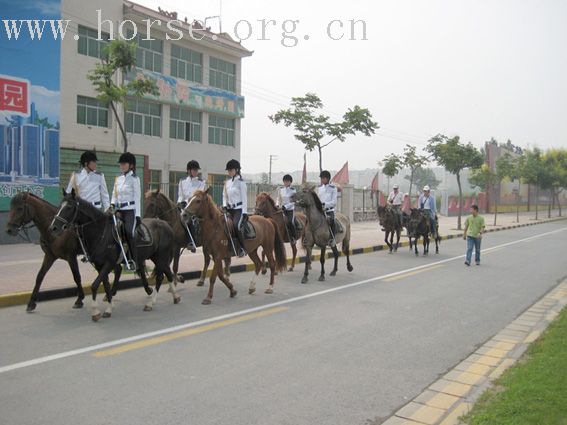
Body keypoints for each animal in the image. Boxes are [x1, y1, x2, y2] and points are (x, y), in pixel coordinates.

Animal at [52, 190, 180, 320]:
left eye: (69, 207)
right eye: (59, 205)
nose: (54, 227)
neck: (100, 231)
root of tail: (167, 225)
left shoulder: (109, 263)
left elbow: (95, 285)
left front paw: (96, 311)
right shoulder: (99, 265)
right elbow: (106, 285)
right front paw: (109, 307)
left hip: (161, 257)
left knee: (162, 276)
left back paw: (153, 302)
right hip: (156, 257)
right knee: (166, 274)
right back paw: (170, 297)